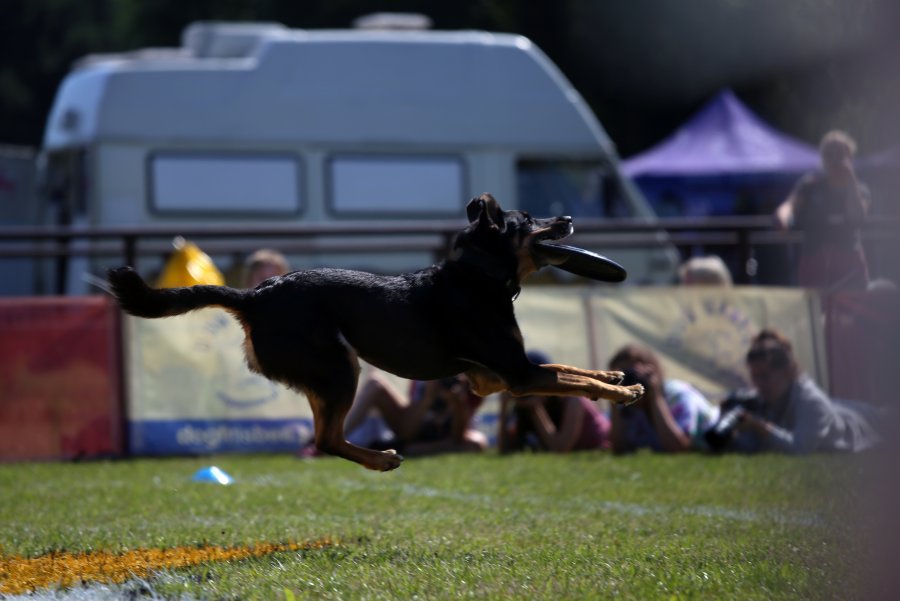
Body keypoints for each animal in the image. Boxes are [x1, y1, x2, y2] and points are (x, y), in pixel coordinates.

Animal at [109, 195, 644, 472]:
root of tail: (254, 295)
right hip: (337, 368)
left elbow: (570, 369)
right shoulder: (515, 375)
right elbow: (567, 376)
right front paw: (626, 391)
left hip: (328, 375)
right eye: (530, 220)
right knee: (327, 438)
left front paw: (614, 377)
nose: (568, 217)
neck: (479, 275)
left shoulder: (496, 376)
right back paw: (383, 458)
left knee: (326, 436)